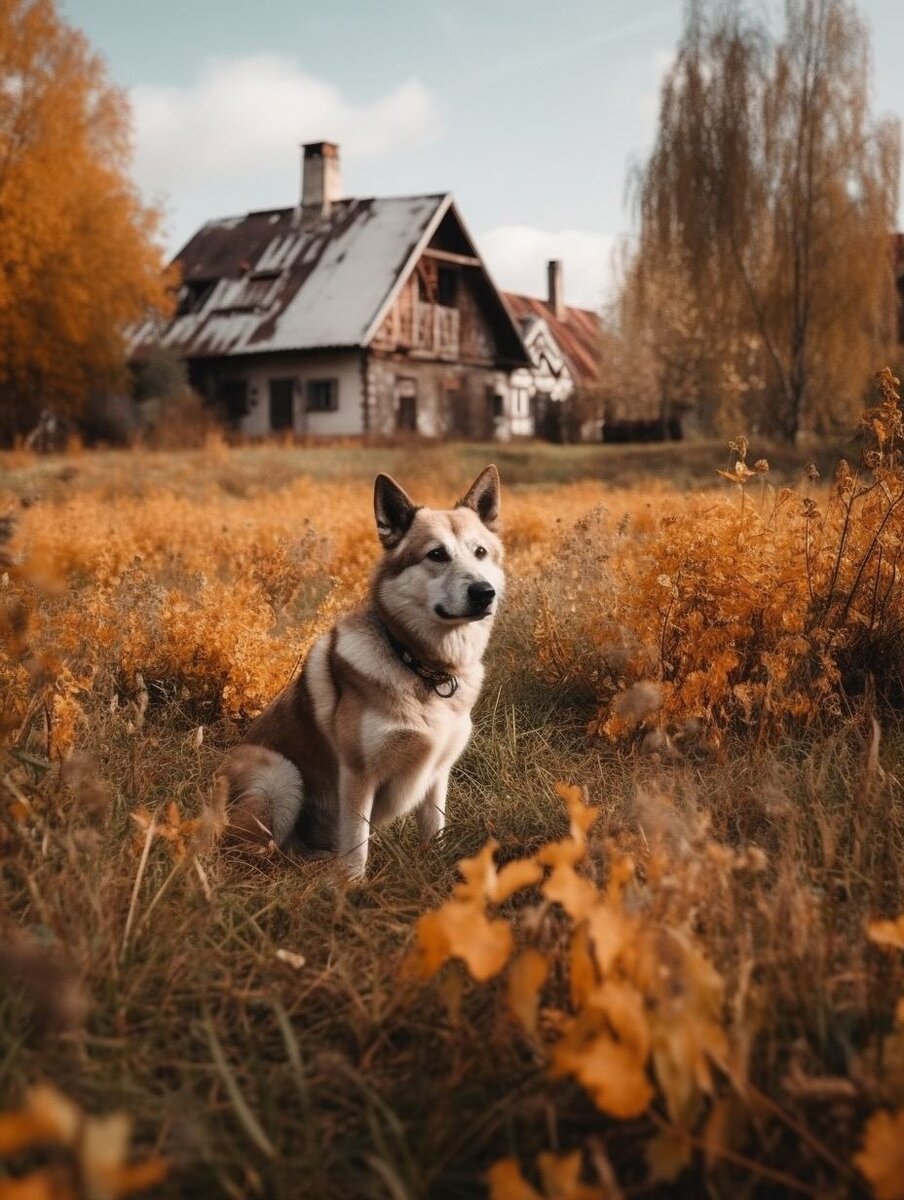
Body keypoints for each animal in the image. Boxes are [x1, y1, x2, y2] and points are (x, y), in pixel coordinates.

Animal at [216, 463, 504, 878]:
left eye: (480, 552)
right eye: (436, 554)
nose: (484, 593)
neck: (418, 665)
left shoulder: (437, 773)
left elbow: (434, 829)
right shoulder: (358, 774)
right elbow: (356, 844)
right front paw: (350, 885)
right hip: (280, 775)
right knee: (259, 851)